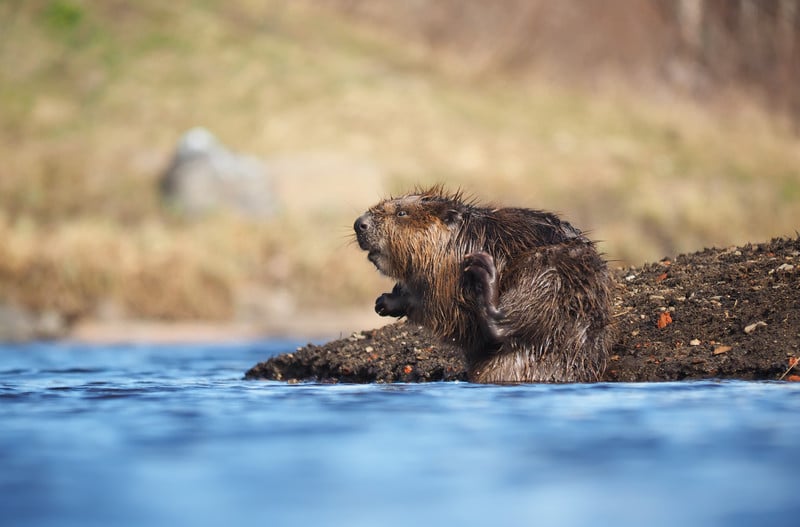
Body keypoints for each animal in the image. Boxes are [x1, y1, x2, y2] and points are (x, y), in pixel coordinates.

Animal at [354, 188, 616, 386]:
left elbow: (446, 311)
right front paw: (385, 301)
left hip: (550, 269)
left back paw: (485, 273)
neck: (463, 239)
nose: (359, 224)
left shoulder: (449, 274)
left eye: (402, 212)